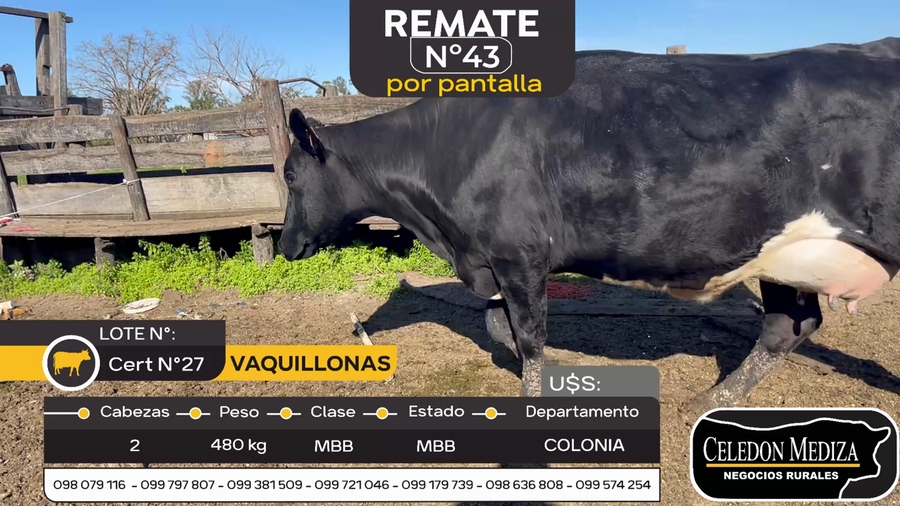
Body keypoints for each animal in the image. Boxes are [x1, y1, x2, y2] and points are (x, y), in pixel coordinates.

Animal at [279, 38, 900, 415]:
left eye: (288, 174)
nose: (284, 246)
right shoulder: (499, 261)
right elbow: (501, 327)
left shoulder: (519, 254)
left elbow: (528, 336)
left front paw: (535, 393)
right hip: (786, 254)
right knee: (788, 327)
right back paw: (709, 401)